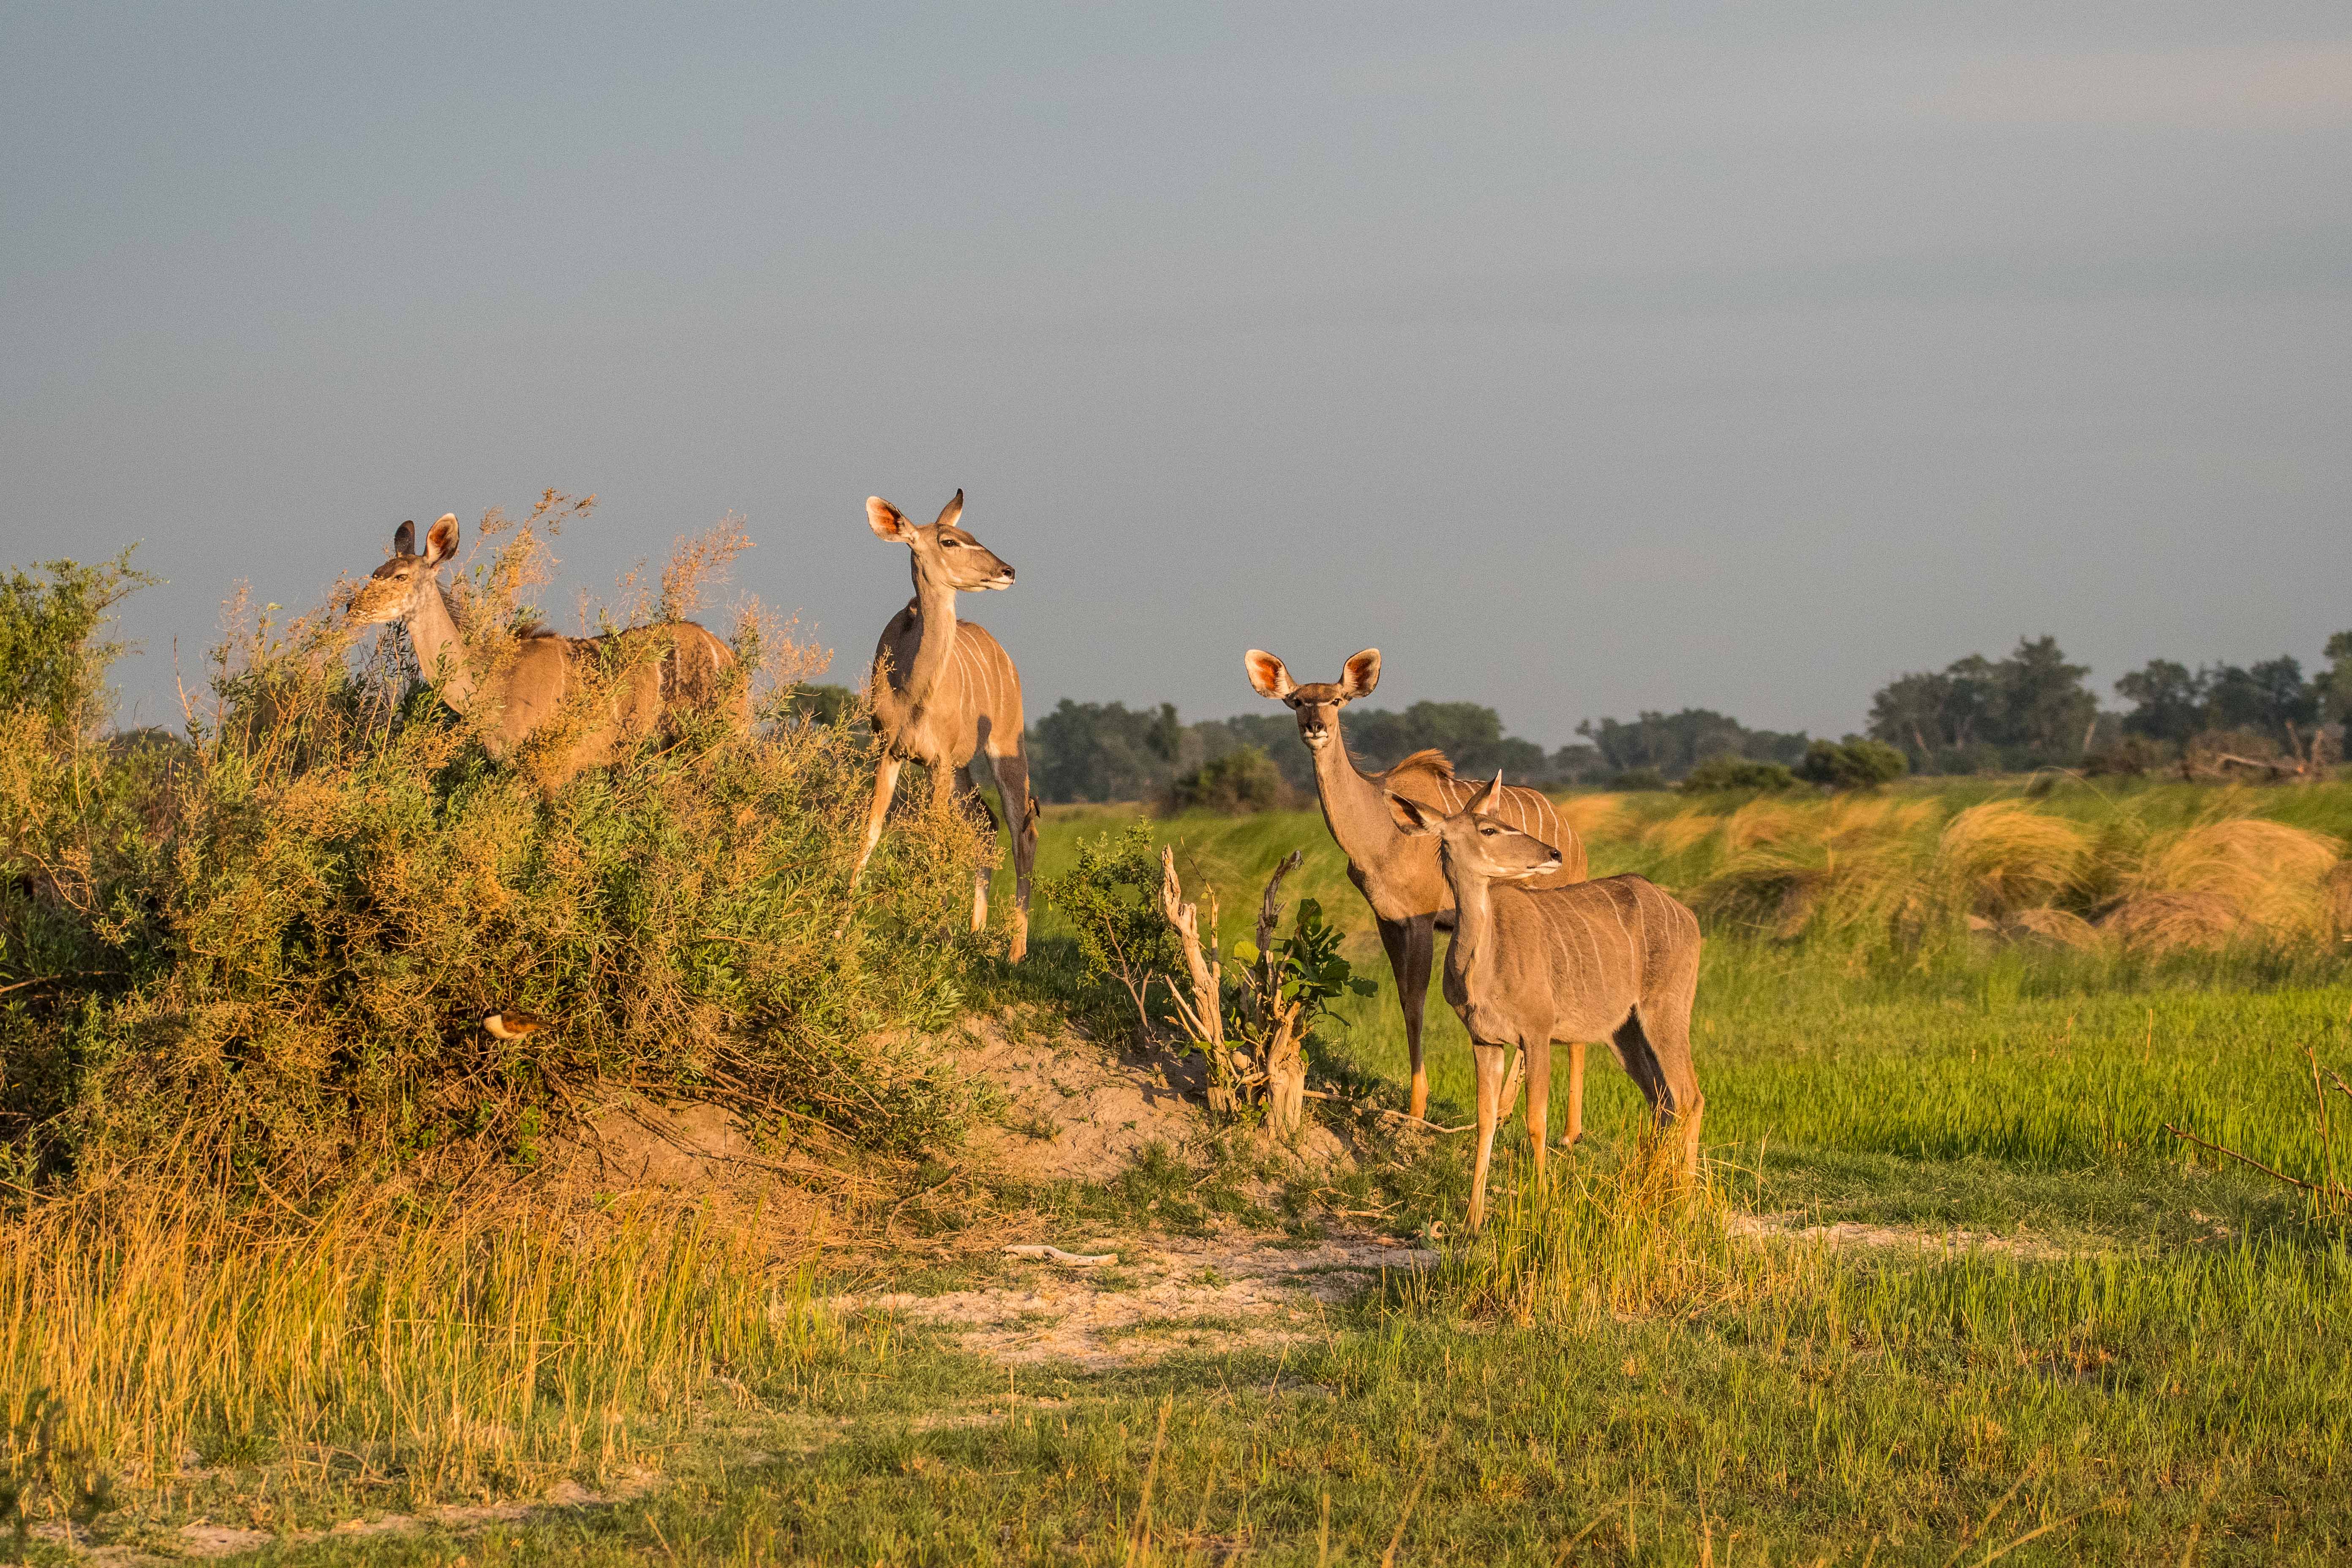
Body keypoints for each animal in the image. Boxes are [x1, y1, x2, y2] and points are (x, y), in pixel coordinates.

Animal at [348, 512, 743, 785]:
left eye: (401, 577)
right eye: (376, 571)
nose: (353, 608)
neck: (492, 681)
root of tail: (729, 658)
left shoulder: (551, 770)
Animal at [847, 491, 1030, 959]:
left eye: (970, 534)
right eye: (949, 541)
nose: (1008, 571)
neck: (913, 691)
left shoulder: (938, 761)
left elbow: (934, 837)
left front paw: (937, 936)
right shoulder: (890, 753)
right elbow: (871, 830)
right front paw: (839, 927)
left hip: (1005, 748)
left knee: (1023, 831)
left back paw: (1015, 951)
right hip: (963, 769)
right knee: (987, 823)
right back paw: (977, 932)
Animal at [1241, 649, 1590, 1128]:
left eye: (1336, 700)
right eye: (1297, 701)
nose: (1316, 727)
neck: (1381, 833)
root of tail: (1573, 841)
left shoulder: (1421, 920)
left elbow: (1420, 1002)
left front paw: (1417, 1109)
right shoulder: (1388, 921)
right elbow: (1407, 1002)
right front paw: (1415, 1105)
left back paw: (1561, 1129)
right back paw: (1517, 1114)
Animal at [1383, 780, 1703, 1232]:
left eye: (1500, 821)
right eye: (1488, 829)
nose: (1553, 854)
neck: (1484, 969)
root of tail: (1689, 918)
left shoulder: (1537, 1032)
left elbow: (1536, 1122)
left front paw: (1543, 1205)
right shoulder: (1485, 1039)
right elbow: (1486, 1121)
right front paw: (1471, 1221)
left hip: (1667, 1009)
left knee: (1690, 1097)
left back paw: (1685, 1209)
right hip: (1625, 1030)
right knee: (1663, 1102)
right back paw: (1654, 1196)